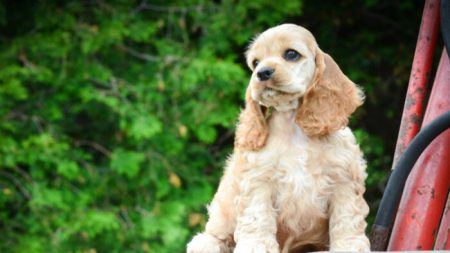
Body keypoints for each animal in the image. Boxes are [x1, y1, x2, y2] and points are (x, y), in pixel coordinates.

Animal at [185, 23, 370, 251]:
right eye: (255, 63)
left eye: (291, 54)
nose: (262, 73)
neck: (293, 126)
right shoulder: (258, 180)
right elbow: (258, 215)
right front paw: (256, 246)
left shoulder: (344, 180)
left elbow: (347, 219)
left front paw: (350, 246)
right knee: (215, 234)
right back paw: (205, 244)